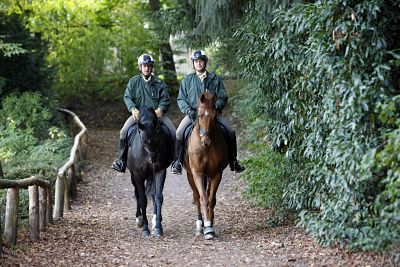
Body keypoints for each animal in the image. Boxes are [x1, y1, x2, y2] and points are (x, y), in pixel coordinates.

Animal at [126, 105, 173, 238]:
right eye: (143, 140)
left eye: (158, 135)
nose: (153, 159)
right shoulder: (137, 175)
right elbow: (142, 199)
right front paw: (145, 229)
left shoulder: (159, 171)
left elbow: (158, 196)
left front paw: (158, 228)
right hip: (133, 176)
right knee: (137, 193)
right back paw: (139, 218)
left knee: (152, 194)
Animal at [184, 91, 230, 240]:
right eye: (199, 114)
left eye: (214, 116)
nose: (206, 141)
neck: (206, 149)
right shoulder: (197, 174)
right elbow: (203, 198)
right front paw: (207, 227)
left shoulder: (216, 174)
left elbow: (211, 199)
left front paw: (210, 225)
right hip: (190, 175)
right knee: (197, 197)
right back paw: (200, 226)